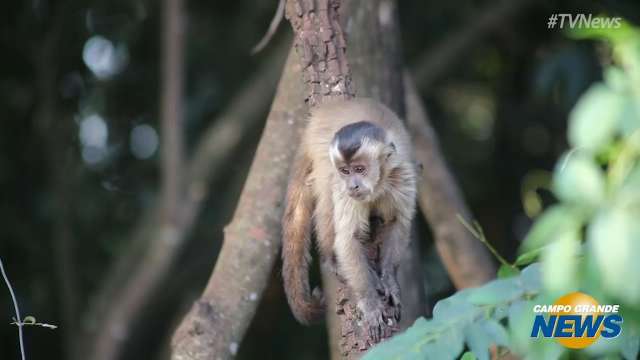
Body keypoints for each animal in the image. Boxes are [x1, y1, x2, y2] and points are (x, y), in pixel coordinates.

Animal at [282, 98, 418, 344]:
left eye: (360, 169)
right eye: (346, 171)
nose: (352, 185)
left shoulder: (402, 175)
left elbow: (398, 223)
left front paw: (390, 280)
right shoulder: (342, 184)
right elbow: (347, 239)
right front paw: (370, 303)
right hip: (323, 158)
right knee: (327, 196)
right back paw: (331, 260)